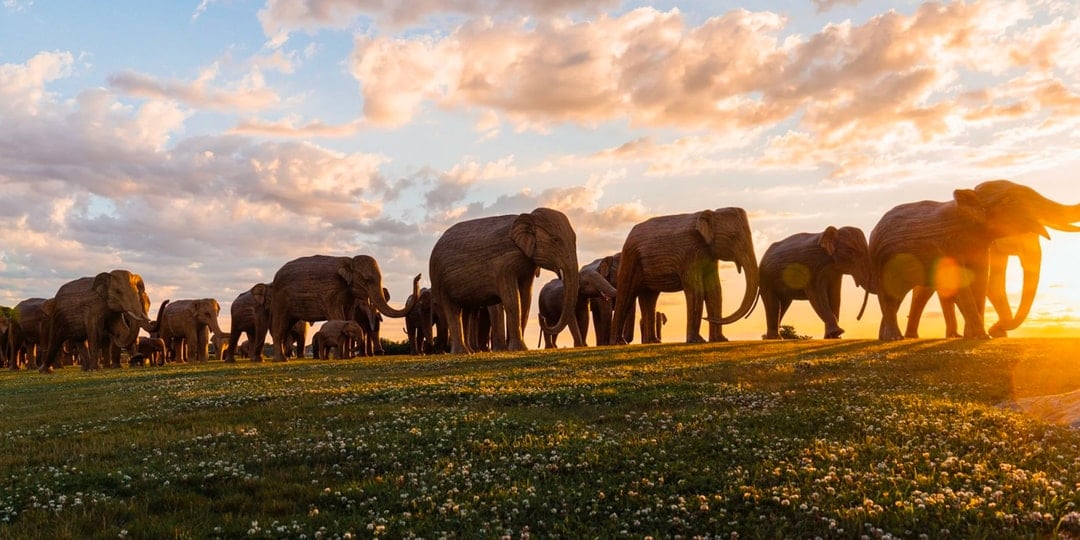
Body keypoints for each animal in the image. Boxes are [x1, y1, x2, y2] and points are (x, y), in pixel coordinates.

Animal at [267, 253, 419, 362]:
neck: (349, 262)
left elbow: (349, 317)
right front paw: (338, 358)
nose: (418, 276)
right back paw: (281, 360)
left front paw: (346, 357)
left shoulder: (349, 294)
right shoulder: (331, 291)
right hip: (280, 300)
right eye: (367, 279)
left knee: (286, 327)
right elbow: (338, 316)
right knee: (280, 327)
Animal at [427, 206, 583, 354]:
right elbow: (512, 300)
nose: (542, 317)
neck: (528, 217)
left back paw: (470, 352)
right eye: (555, 240)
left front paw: (521, 349)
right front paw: (519, 349)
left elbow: (526, 299)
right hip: (440, 280)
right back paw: (462, 352)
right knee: (452, 310)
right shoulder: (505, 265)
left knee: (467, 312)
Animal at [609, 208, 760, 343]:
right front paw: (697, 341)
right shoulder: (690, 253)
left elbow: (715, 291)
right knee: (626, 295)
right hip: (630, 258)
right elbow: (696, 290)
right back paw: (620, 342)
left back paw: (652, 341)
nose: (706, 318)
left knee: (649, 299)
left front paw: (721, 340)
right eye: (733, 236)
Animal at [868, 181, 1080, 341]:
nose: (995, 328)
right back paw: (894, 338)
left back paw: (890, 337)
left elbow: (980, 279)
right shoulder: (948, 245)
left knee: (900, 296)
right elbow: (966, 281)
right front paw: (982, 336)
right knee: (889, 294)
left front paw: (978, 336)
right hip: (879, 258)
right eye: (1010, 201)